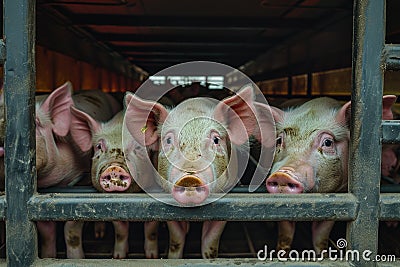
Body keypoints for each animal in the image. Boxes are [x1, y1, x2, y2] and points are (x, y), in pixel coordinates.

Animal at [65, 108, 159, 260]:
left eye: (138, 148)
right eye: (99, 146)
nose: (114, 167)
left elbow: (151, 225)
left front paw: (151, 257)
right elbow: (119, 228)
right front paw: (119, 256)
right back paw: (99, 235)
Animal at [262, 96, 396, 255]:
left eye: (327, 142)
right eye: (279, 141)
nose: (282, 175)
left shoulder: (339, 199)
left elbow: (321, 235)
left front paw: (323, 255)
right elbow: (285, 233)